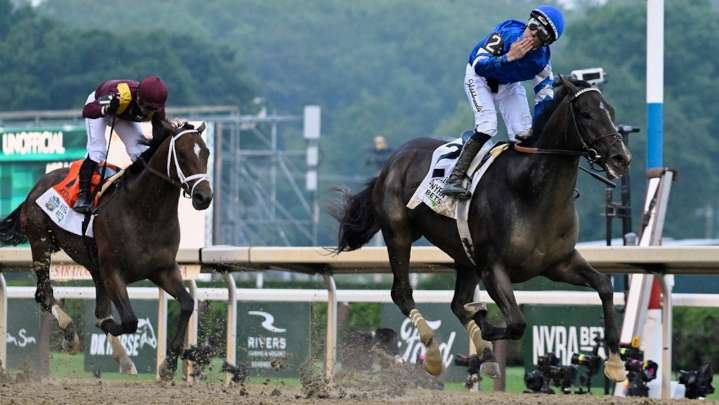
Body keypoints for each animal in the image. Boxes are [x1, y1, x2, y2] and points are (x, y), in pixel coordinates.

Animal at [0, 118, 212, 379]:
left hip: (92, 265)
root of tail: (37, 186)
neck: (144, 212)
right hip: (41, 242)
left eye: (206, 152)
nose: (204, 196)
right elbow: (128, 320)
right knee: (43, 293)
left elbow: (187, 304)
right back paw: (70, 333)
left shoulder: (163, 269)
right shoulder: (113, 272)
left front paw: (172, 362)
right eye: (181, 155)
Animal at [333, 77, 631, 382]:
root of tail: (392, 161)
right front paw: (484, 321)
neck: (531, 191)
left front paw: (615, 362)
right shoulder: (493, 267)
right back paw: (434, 355)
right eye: (586, 114)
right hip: (399, 234)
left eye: (611, 111)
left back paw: (485, 354)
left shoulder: (559, 263)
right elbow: (516, 323)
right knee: (402, 293)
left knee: (456, 303)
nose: (621, 158)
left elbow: (604, 286)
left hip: (465, 256)